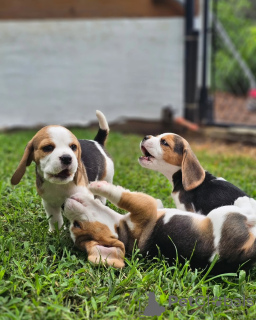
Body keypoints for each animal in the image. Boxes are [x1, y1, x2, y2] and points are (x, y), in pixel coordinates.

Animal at [63, 181, 256, 274]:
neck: (119, 229)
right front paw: (99, 186)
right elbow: (123, 196)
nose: (64, 205)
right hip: (222, 214)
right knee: (249, 215)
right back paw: (244, 201)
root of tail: (243, 256)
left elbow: (153, 201)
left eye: (75, 225)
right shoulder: (144, 208)